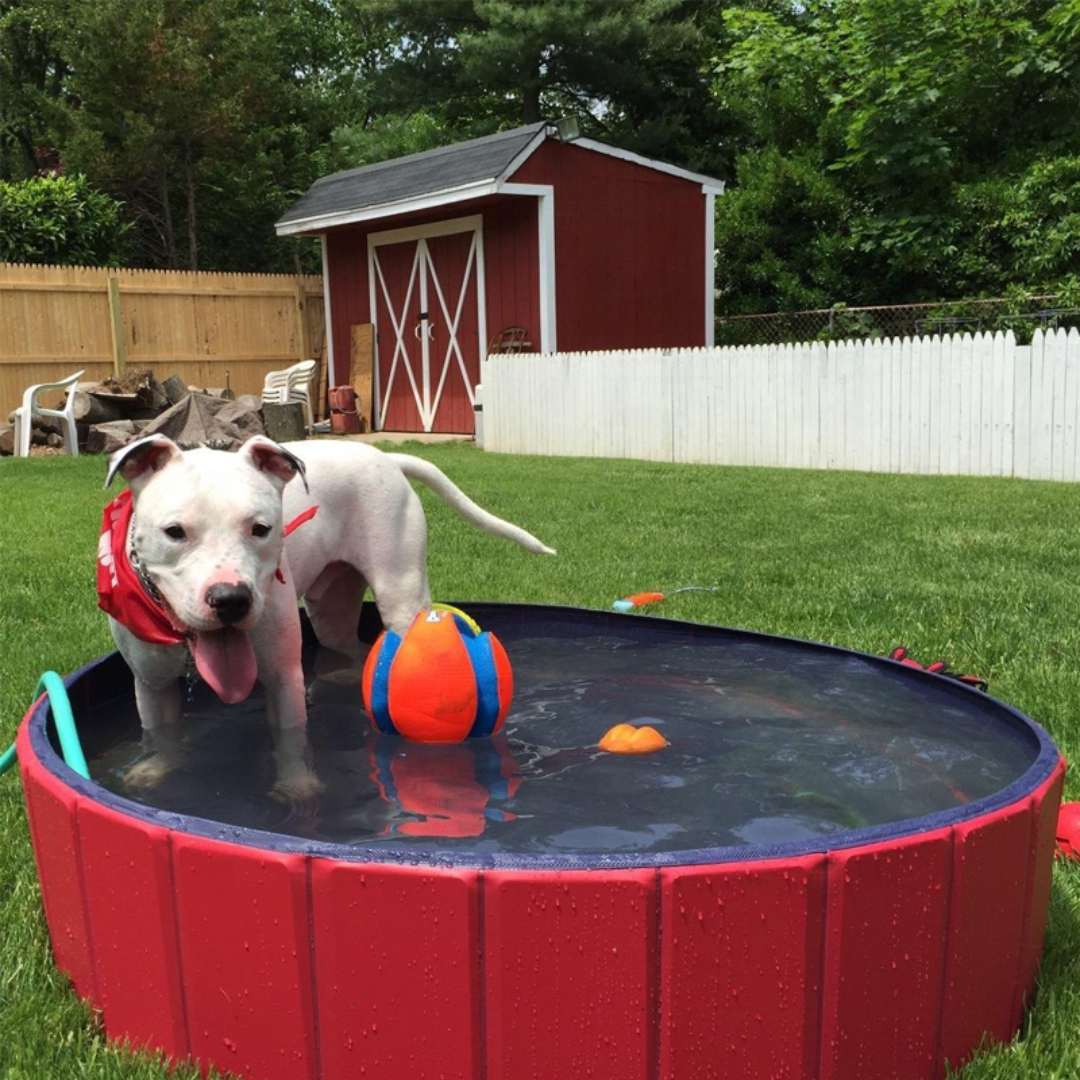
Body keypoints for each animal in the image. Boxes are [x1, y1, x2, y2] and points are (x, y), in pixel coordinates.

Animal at [99, 434, 557, 799]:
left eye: (260, 528)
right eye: (174, 532)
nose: (231, 599)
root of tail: (385, 456)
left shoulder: (283, 675)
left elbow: (290, 738)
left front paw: (297, 785)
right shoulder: (152, 684)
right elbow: (161, 734)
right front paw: (155, 770)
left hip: (401, 596)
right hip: (329, 611)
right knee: (354, 646)